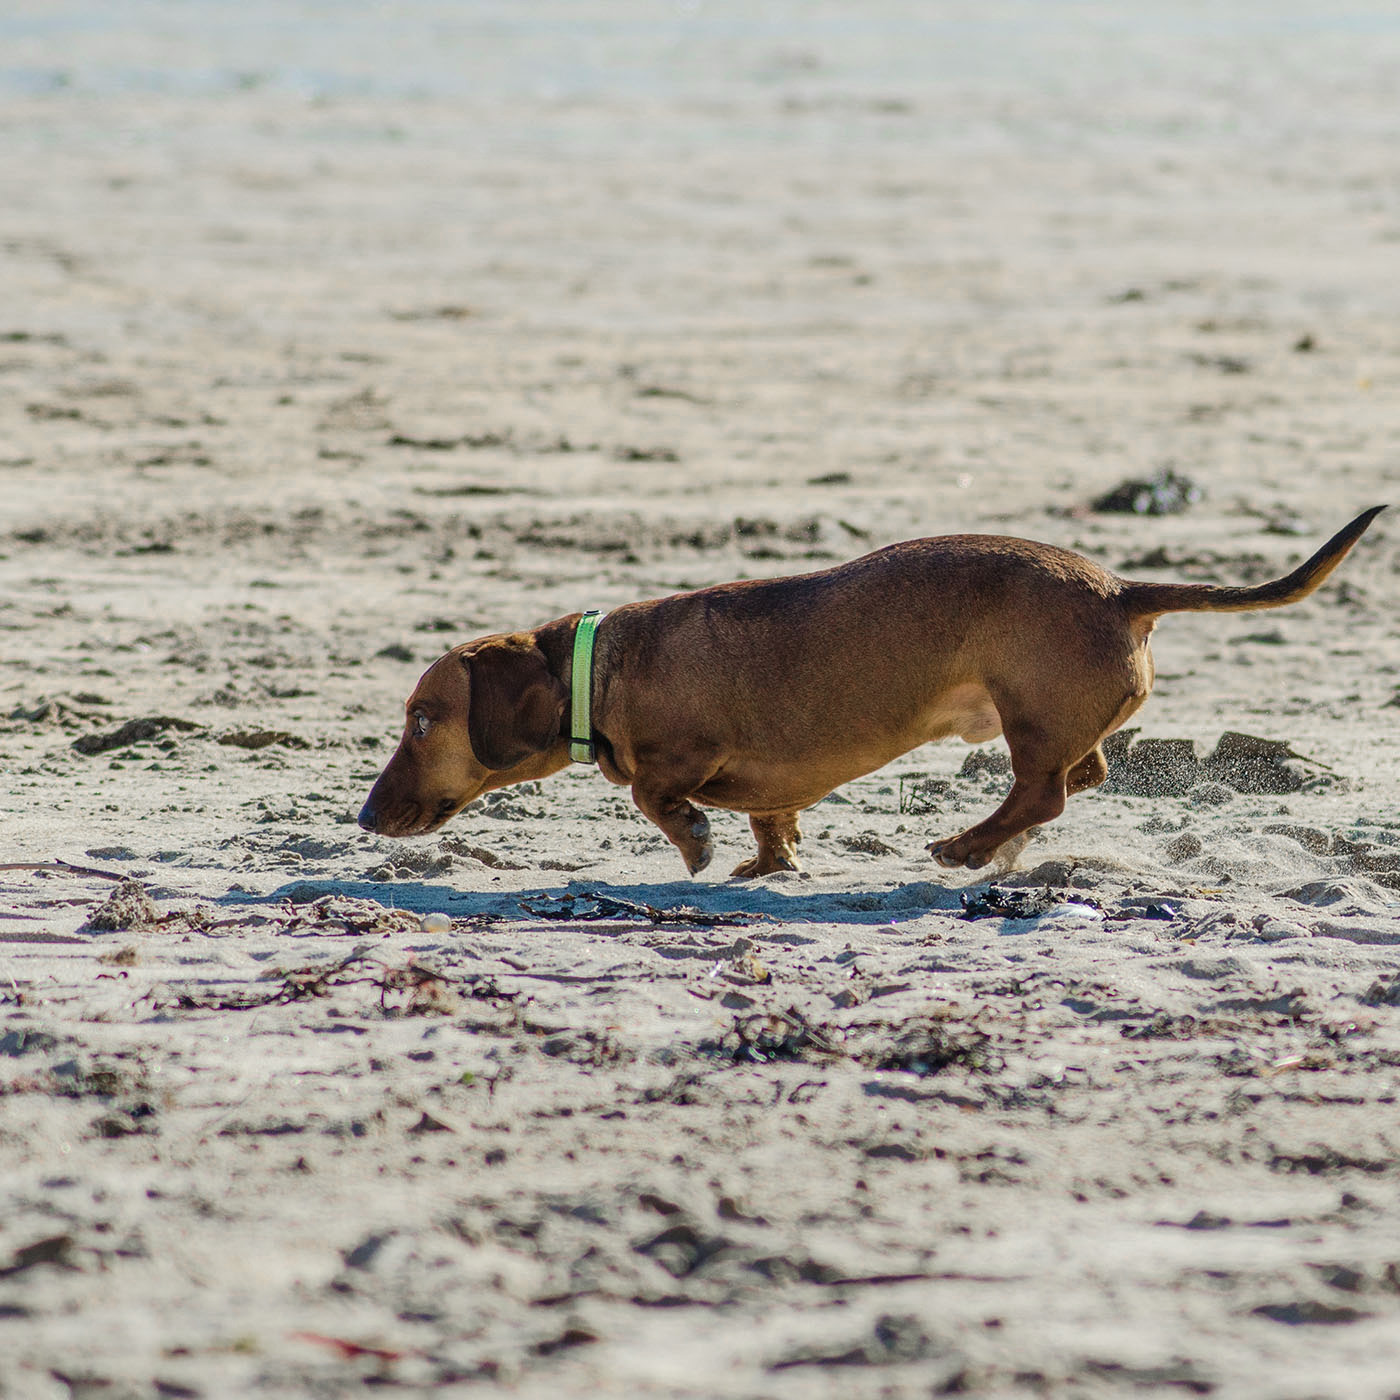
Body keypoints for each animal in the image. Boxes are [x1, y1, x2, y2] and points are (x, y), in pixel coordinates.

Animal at [355, 504, 1383, 873]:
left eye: (421, 720)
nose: (363, 817)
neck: (599, 663)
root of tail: (1120, 590)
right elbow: (770, 819)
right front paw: (767, 861)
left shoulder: (675, 757)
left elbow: (656, 794)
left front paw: (695, 842)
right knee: (1077, 779)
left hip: (1028, 716)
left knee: (1044, 792)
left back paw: (968, 845)